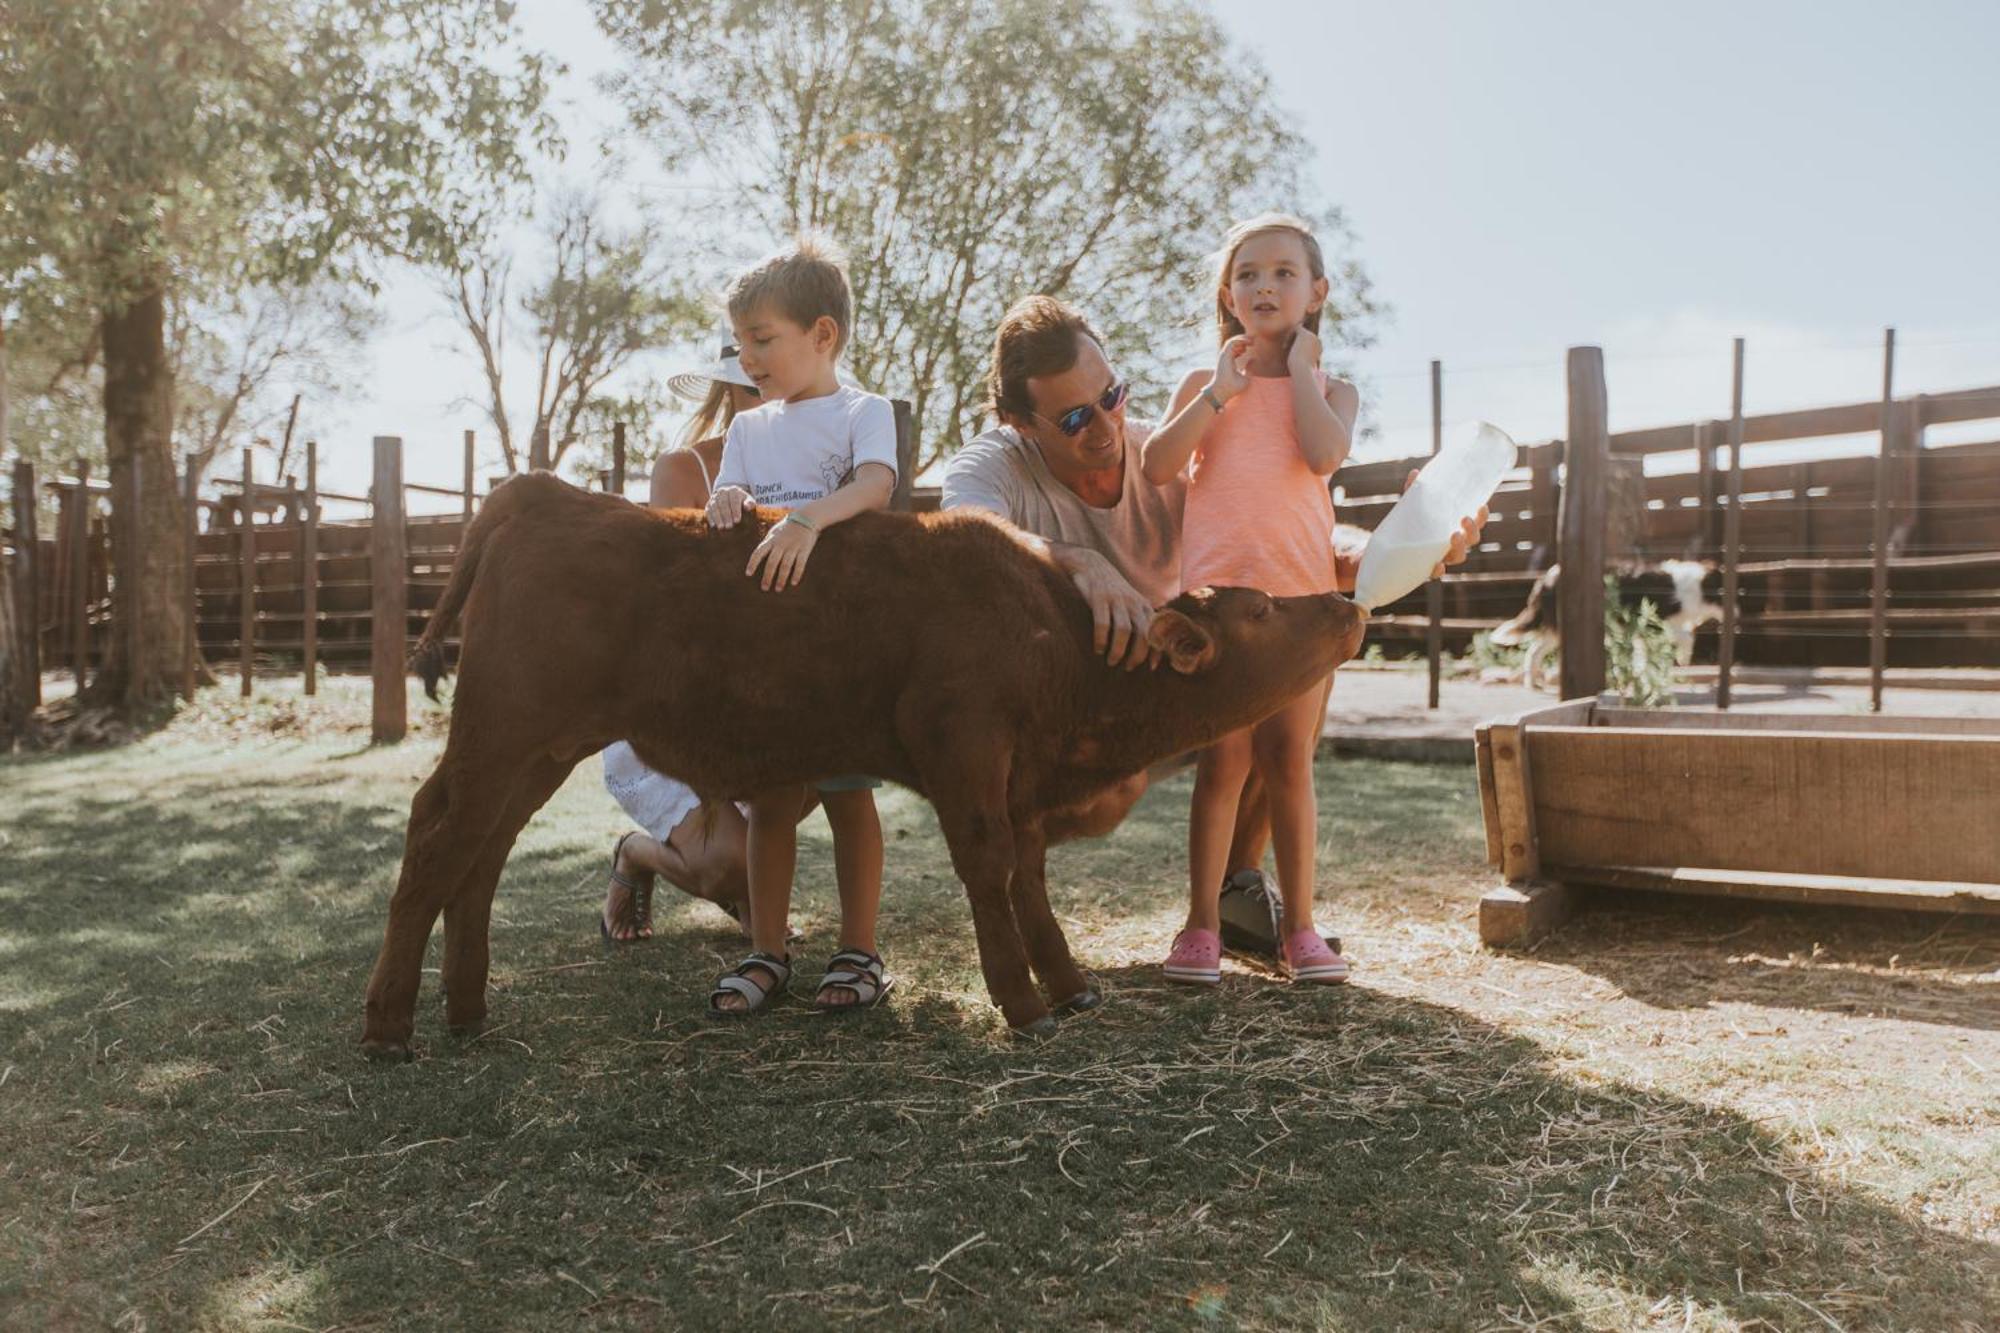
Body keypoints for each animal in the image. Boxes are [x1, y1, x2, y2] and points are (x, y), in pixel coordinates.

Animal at [360, 472, 1368, 1056]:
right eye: (1260, 610)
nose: (1347, 603)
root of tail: (542, 492)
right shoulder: (962, 744)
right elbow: (990, 868)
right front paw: (1022, 1001)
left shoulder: (1016, 783)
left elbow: (1029, 878)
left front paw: (1069, 983)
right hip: (503, 728)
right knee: (438, 839)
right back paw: (387, 1025)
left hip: (534, 748)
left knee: (477, 852)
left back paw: (465, 1010)